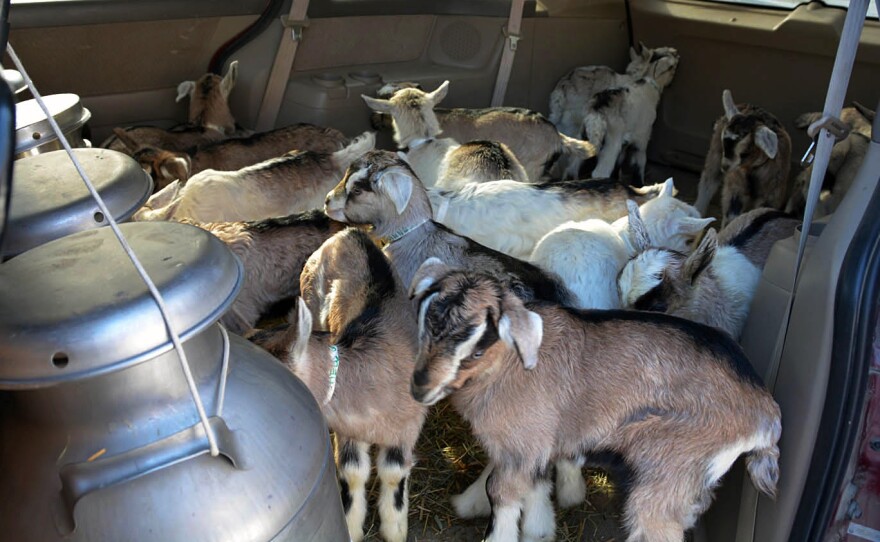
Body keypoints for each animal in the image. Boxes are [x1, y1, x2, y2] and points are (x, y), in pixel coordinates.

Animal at [410, 262, 780, 542]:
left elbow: (500, 490)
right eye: (423, 325)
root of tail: (765, 411)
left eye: (476, 349)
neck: (509, 364)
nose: (420, 389)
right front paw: (475, 506)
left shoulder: (524, 438)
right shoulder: (526, 440)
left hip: (673, 464)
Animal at [696, 90, 792, 226]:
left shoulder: (771, 195)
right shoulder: (736, 189)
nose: (725, 166)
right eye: (724, 144)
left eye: (746, 152)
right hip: (715, 154)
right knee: (708, 181)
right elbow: (731, 217)